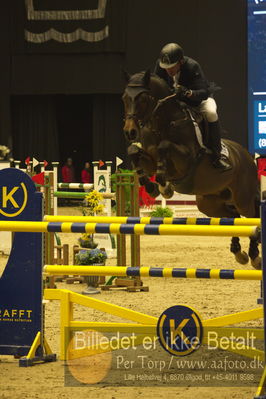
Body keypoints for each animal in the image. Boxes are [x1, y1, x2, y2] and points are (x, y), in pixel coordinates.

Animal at [122, 70, 260, 270]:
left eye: (142, 98)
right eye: (124, 98)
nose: (129, 132)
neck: (162, 124)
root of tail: (247, 156)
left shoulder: (185, 160)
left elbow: (164, 146)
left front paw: (164, 187)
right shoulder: (149, 159)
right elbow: (133, 151)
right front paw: (151, 187)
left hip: (243, 198)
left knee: (252, 217)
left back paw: (255, 256)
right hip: (210, 203)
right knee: (232, 217)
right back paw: (239, 253)